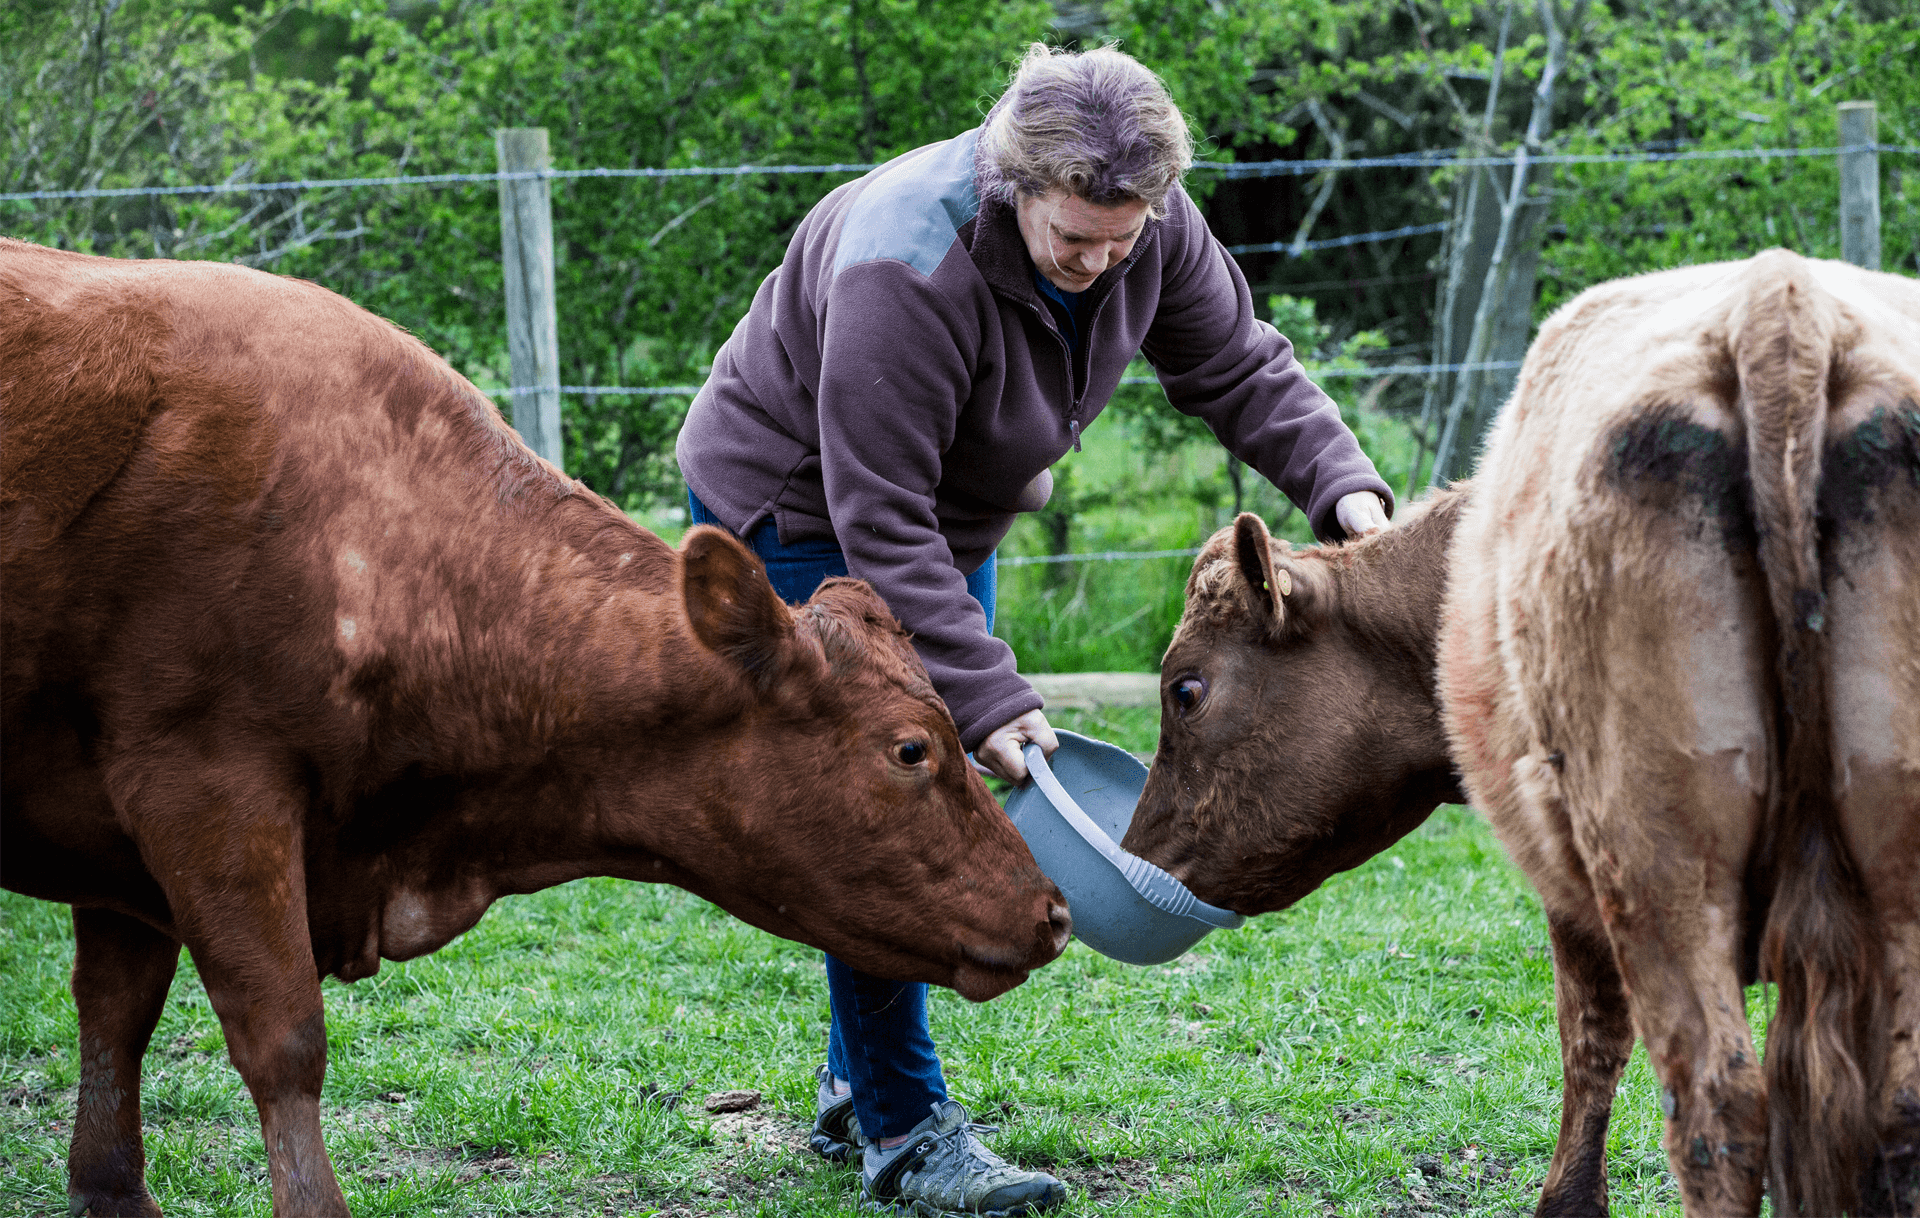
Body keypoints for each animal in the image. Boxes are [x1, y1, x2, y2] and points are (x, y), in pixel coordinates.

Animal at [0, 237, 1070, 1218]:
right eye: (910, 749)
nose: (1055, 912)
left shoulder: (123, 842)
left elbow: (116, 1013)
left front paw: (108, 1192)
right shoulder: (203, 791)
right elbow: (282, 1038)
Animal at [1125, 250, 1920, 1216]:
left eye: (1186, 689)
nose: (1134, 854)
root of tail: (1780, 304)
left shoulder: (1572, 896)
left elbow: (1590, 1044)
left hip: (1656, 866)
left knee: (1719, 1107)